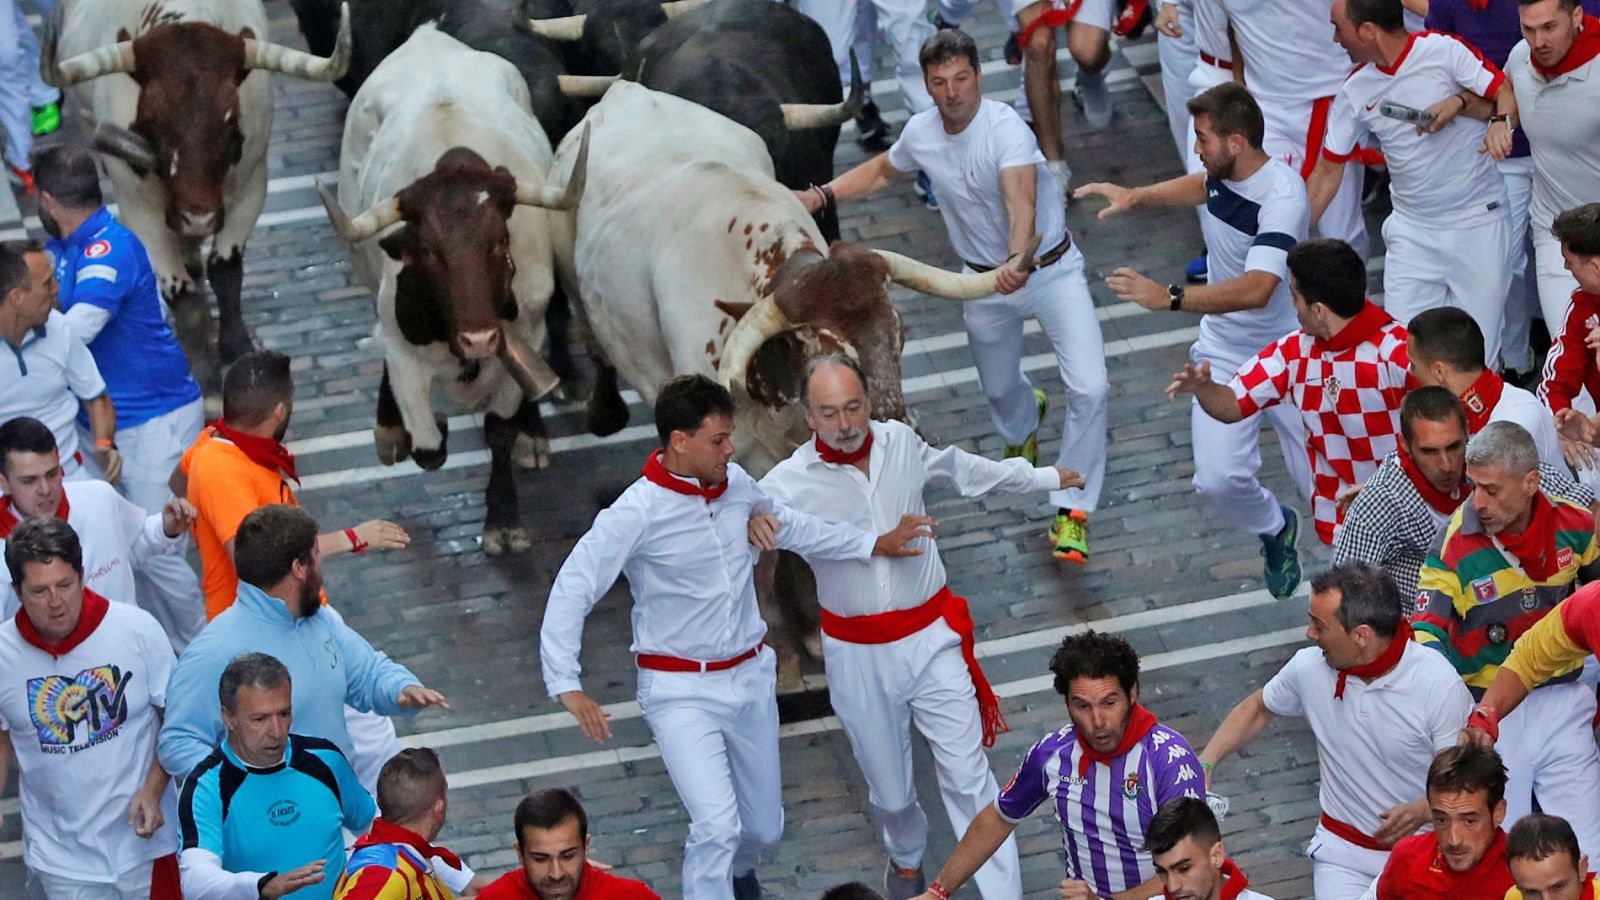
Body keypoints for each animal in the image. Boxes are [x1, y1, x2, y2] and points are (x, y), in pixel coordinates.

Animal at [43, 0, 353, 395]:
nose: (198, 216)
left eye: (230, 121)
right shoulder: (139, 209)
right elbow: (183, 296)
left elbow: (226, 271)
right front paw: (203, 372)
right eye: (154, 120)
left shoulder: (251, 187)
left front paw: (236, 347)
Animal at [315, 24, 585, 550]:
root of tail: (428, 37)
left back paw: (533, 433)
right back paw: (389, 429)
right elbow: (428, 446)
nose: (478, 338)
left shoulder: (527, 330)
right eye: (426, 252)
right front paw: (415, 429)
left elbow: (499, 429)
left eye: (500, 239)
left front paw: (503, 518)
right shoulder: (402, 350)